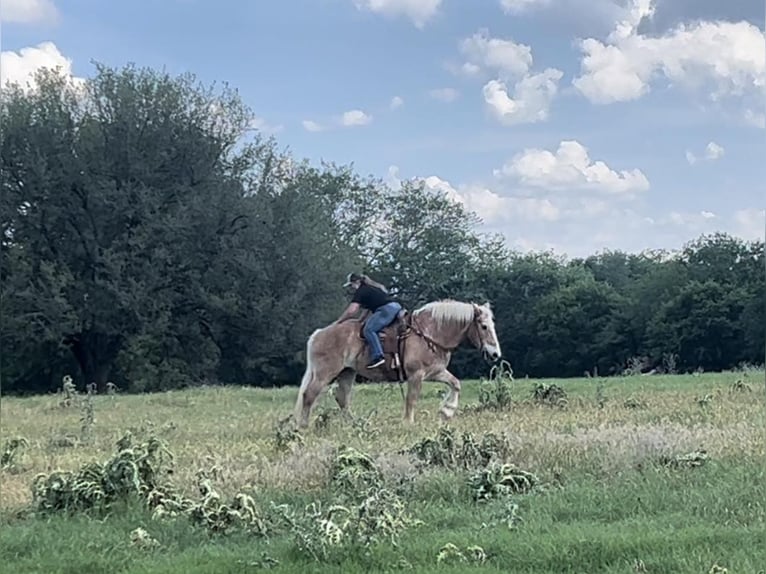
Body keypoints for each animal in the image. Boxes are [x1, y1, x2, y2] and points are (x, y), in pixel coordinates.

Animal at [294, 300, 504, 430]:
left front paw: (447, 411)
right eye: (484, 326)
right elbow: (412, 399)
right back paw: (303, 426)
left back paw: (354, 424)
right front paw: (409, 422)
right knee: (309, 395)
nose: (495, 354)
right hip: (324, 373)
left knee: (342, 398)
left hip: (347, 372)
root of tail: (319, 333)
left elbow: (456, 383)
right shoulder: (416, 375)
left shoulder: (435, 372)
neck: (428, 333)